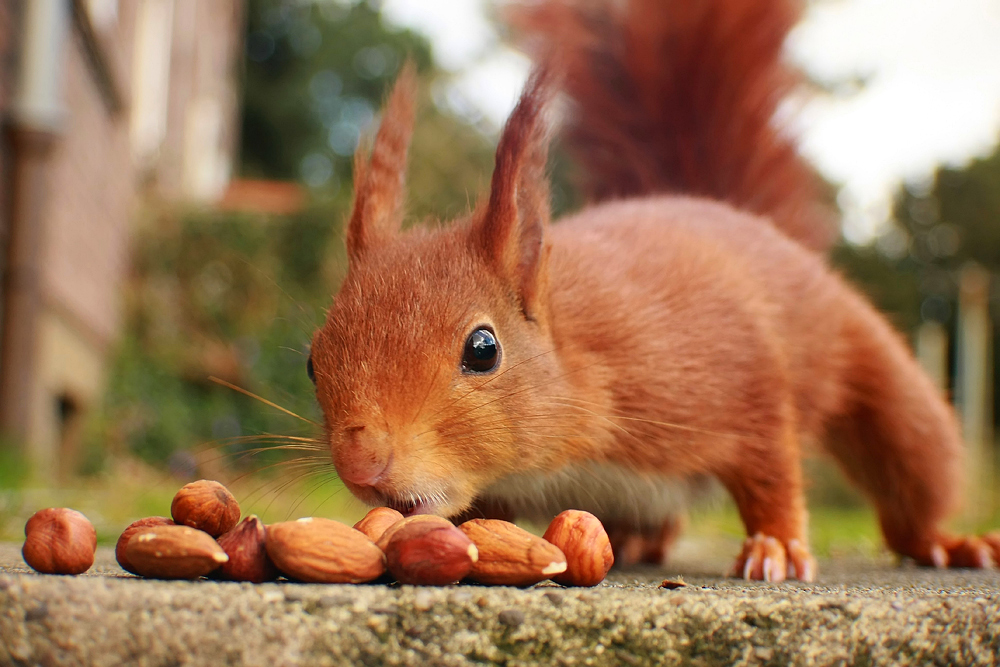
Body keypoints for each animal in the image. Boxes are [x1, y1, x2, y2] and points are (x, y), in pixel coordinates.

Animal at [308, 0, 996, 580]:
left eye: (483, 350)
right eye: (314, 361)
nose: (360, 464)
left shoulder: (727, 374)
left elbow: (769, 467)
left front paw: (775, 545)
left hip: (878, 378)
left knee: (911, 471)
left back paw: (949, 542)